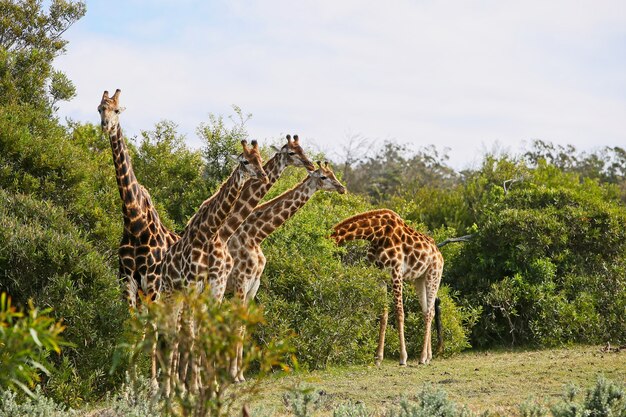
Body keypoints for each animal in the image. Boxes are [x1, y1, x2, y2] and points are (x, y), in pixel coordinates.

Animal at [96, 89, 178, 308]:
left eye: (117, 110)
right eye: (100, 109)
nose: (106, 125)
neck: (134, 222)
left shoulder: (153, 282)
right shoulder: (128, 281)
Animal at [225, 160, 346, 380]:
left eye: (333, 173)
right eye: (323, 177)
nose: (342, 188)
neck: (254, 235)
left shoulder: (253, 286)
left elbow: (244, 327)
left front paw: (240, 374)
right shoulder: (240, 283)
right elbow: (237, 327)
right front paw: (233, 375)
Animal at [330, 208, 442, 364]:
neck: (376, 234)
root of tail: (439, 254)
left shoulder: (396, 272)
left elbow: (399, 312)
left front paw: (403, 358)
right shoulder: (380, 276)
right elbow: (383, 314)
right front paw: (378, 357)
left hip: (434, 275)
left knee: (430, 312)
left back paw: (422, 357)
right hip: (419, 279)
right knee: (427, 311)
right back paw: (428, 356)